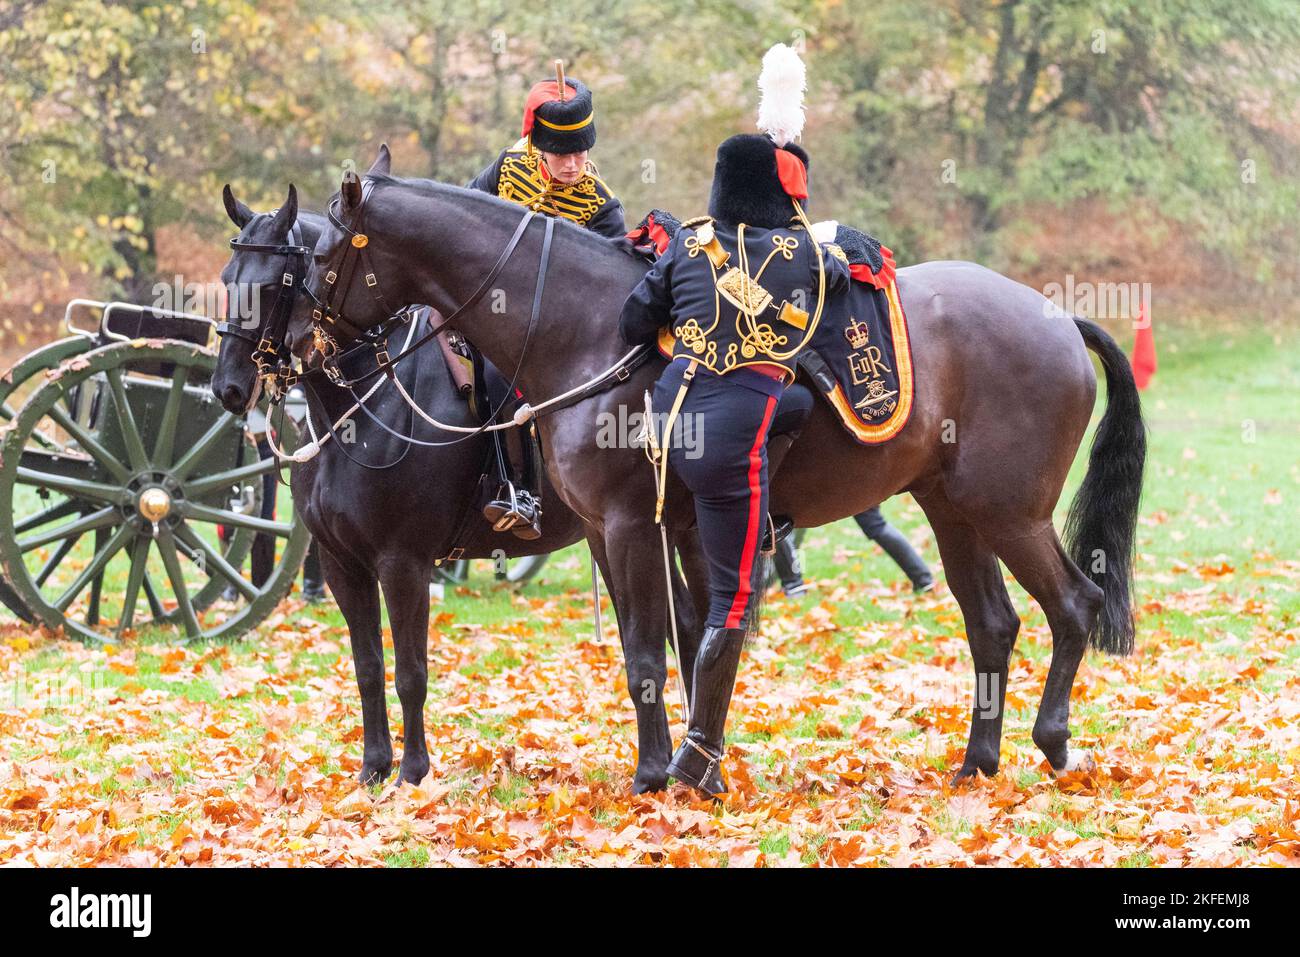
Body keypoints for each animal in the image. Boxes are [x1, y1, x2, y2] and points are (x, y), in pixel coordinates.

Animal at [213, 182, 610, 786]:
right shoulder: (342, 565)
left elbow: (410, 671)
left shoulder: (403, 564)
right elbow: (368, 666)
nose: (229, 388)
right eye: (227, 278)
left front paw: (413, 774)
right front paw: (373, 769)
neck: (363, 405)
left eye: (272, 283)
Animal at [288, 147, 1145, 794]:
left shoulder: (632, 526)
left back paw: (1054, 739)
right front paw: (692, 760)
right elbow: (686, 636)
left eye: (321, 256)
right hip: (953, 510)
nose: (298, 349)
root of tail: (1058, 316)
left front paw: (653, 772)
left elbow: (648, 647)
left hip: (1010, 514)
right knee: (992, 625)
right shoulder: (635, 530)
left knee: (1075, 603)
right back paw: (977, 760)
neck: (588, 325)